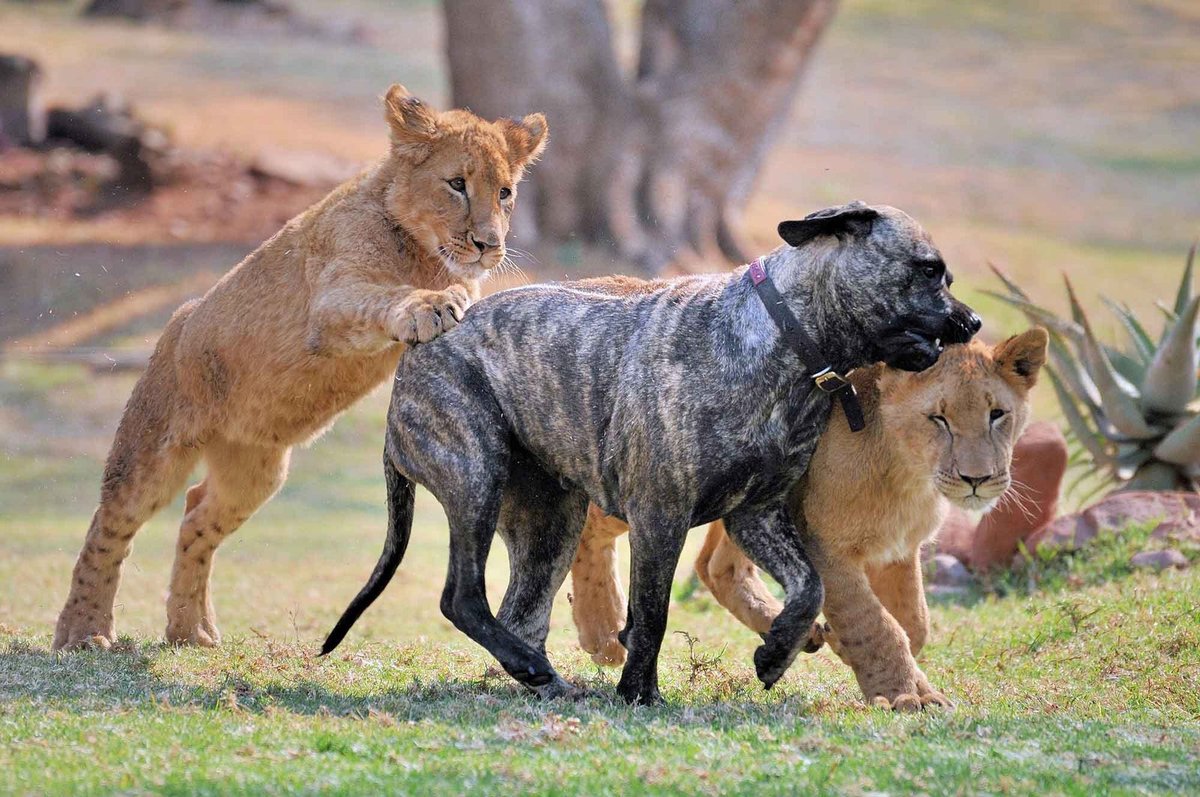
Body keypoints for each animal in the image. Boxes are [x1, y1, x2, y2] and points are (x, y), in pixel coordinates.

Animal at [324, 200, 979, 705]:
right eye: (928, 270)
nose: (972, 322)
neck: (786, 339)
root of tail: (414, 355)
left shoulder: (757, 515)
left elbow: (809, 587)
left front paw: (776, 653)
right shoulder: (660, 518)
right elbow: (653, 615)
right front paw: (640, 693)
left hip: (550, 523)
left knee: (519, 614)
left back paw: (547, 682)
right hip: (475, 477)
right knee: (462, 598)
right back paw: (541, 673)